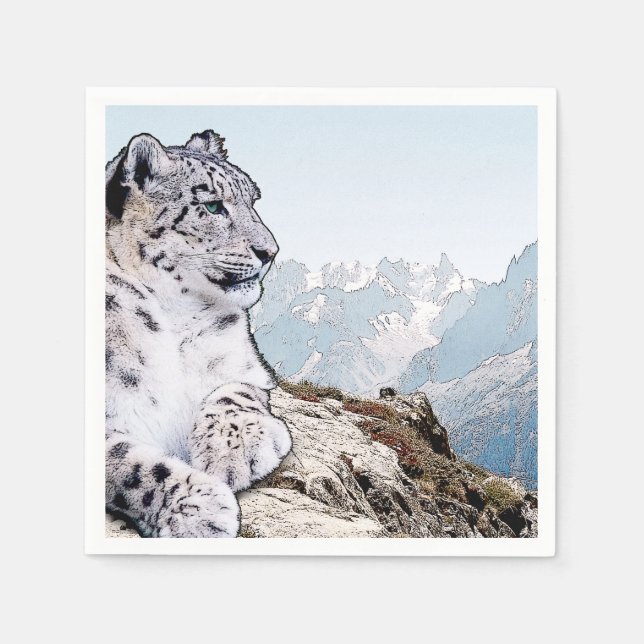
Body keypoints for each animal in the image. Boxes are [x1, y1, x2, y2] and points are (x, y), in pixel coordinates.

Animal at [104, 130, 291, 537]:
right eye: (212, 206)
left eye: (252, 200)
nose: (270, 252)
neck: (176, 317)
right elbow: (124, 463)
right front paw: (196, 509)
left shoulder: (246, 367)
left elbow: (235, 391)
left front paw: (234, 450)